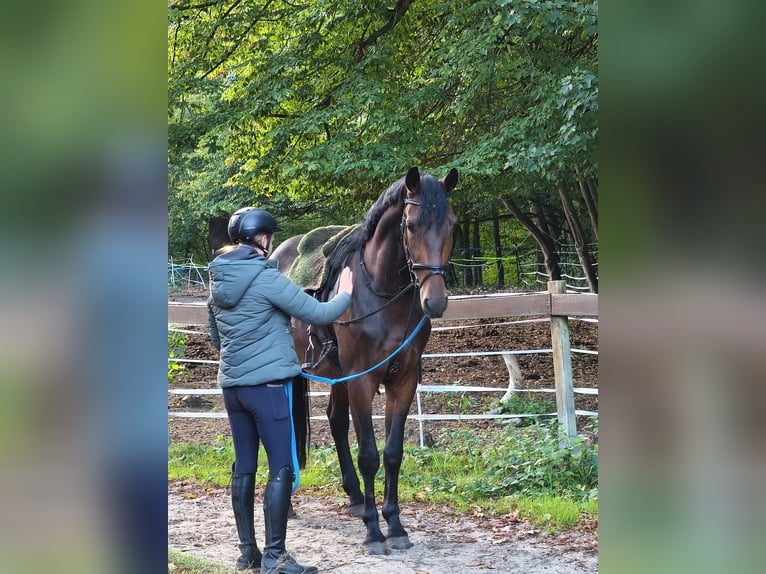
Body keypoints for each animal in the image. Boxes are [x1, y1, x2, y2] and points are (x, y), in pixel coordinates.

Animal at [270, 166, 458, 554]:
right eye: (411, 226)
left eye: (452, 224)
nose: (434, 301)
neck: (381, 293)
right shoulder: (361, 380)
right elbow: (369, 454)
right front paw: (374, 531)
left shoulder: (403, 381)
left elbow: (392, 453)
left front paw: (396, 526)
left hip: (337, 376)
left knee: (335, 421)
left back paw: (356, 497)